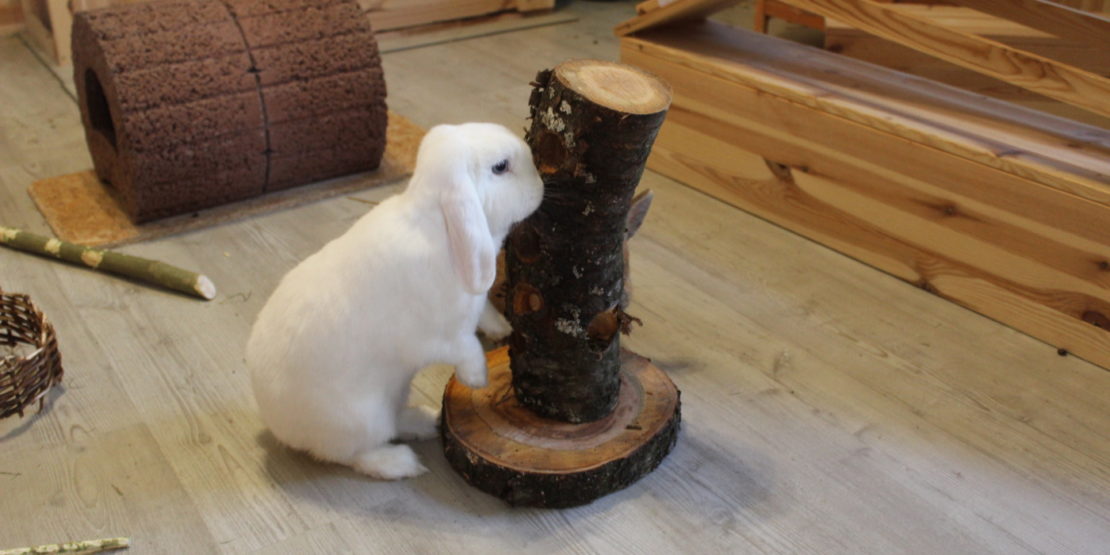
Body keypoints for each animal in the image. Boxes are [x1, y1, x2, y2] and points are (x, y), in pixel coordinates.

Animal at [251, 123, 546, 479]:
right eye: (500, 167)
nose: (541, 186)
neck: (441, 227)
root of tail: (275, 422)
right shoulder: (437, 338)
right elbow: (466, 349)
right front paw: (478, 378)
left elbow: (485, 313)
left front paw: (503, 329)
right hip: (361, 420)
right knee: (352, 454)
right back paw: (400, 462)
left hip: (395, 394)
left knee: (394, 423)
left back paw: (425, 420)